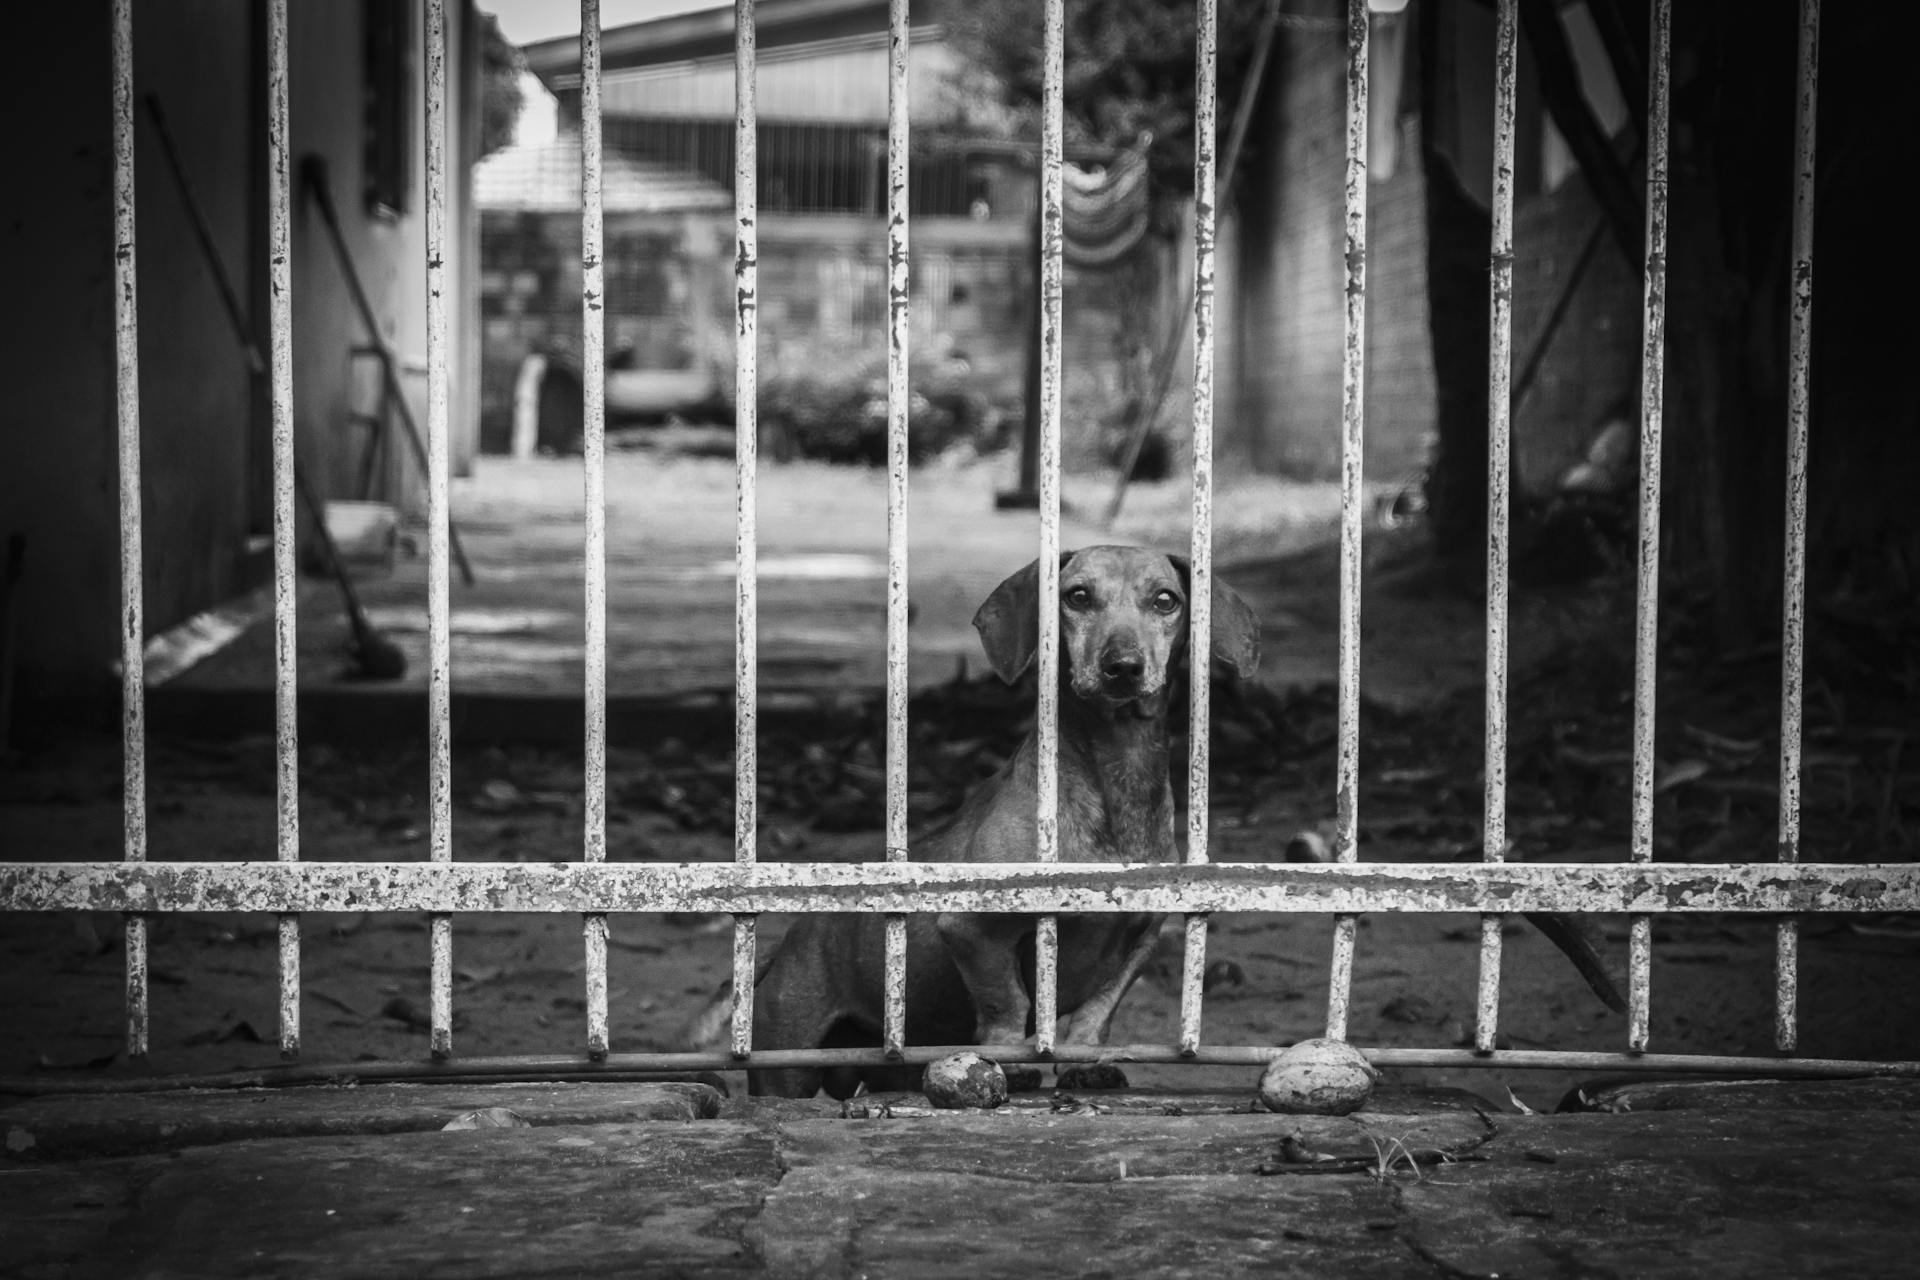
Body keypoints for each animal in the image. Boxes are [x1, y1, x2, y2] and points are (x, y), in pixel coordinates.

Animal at [733, 545, 1620, 1097]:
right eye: (1076, 597)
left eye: (1166, 601)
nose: (1124, 668)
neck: (1111, 784)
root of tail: (786, 945)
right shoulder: (973, 932)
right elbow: (1011, 1006)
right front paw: (1012, 1061)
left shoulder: (1142, 934)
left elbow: (1091, 1016)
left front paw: (1082, 1064)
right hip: (786, 1063)